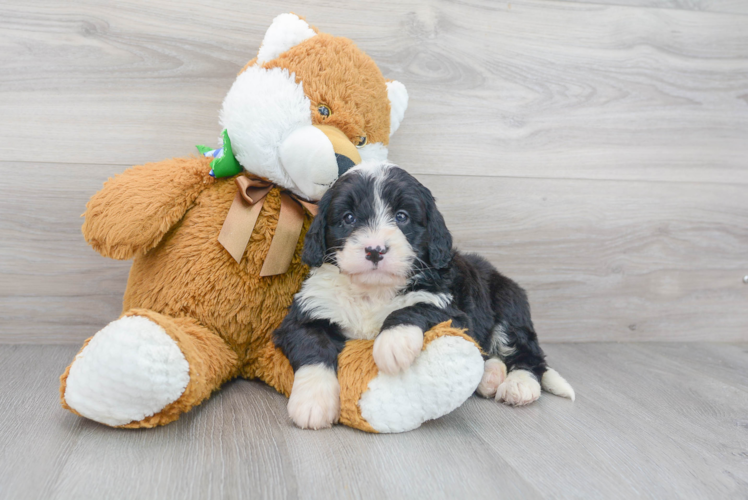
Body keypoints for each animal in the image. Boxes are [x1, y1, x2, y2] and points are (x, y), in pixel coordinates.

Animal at [274, 162, 572, 428]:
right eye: (348, 218)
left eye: (402, 216)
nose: (375, 250)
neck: (372, 290)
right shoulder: (308, 312)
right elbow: (313, 347)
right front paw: (313, 402)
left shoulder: (449, 305)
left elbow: (413, 308)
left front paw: (393, 343)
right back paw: (490, 376)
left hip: (509, 302)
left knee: (529, 355)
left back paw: (519, 385)